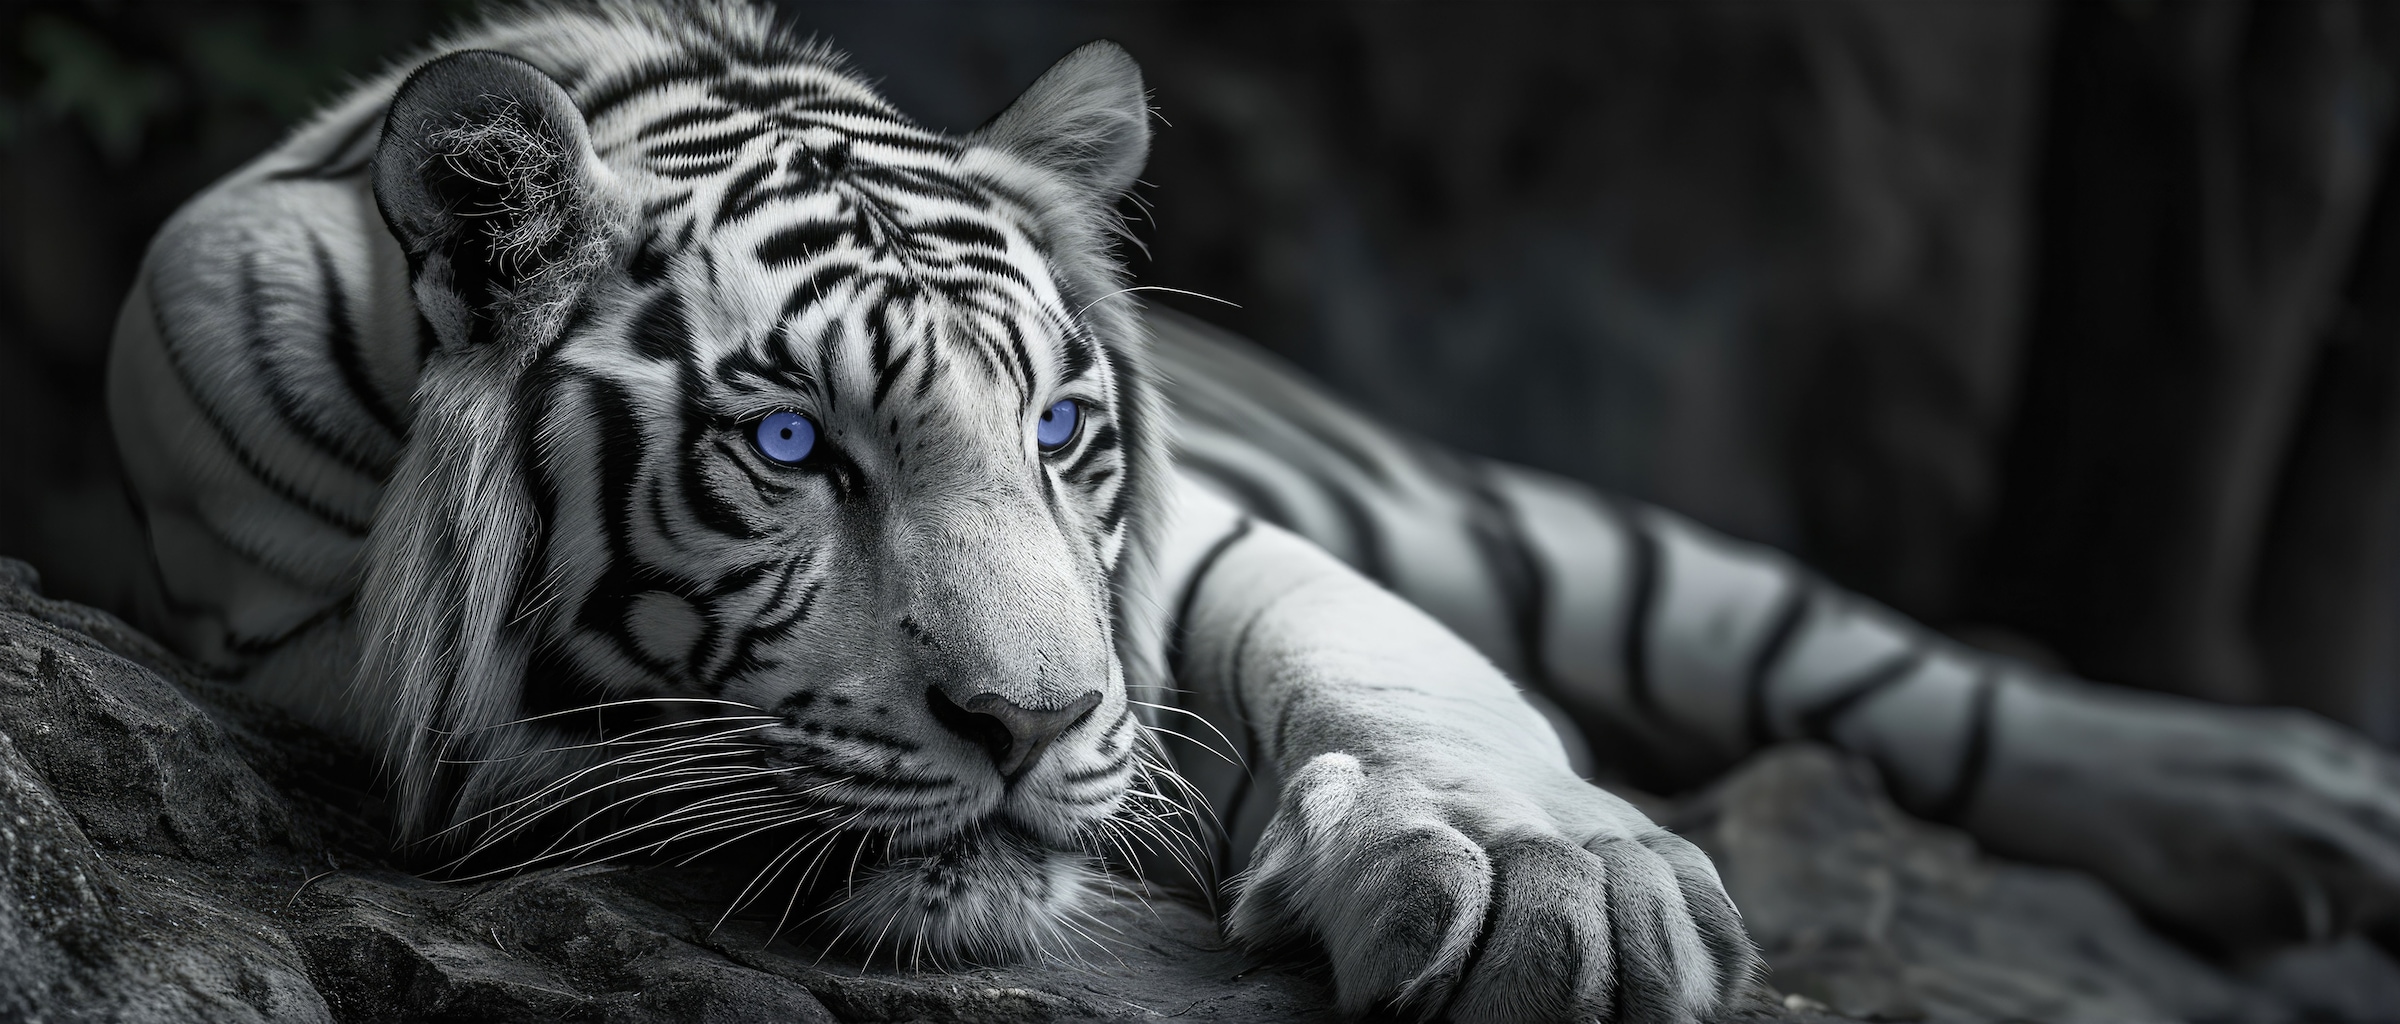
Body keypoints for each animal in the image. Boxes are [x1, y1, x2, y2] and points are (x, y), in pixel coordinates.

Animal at [102, 2, 2400, 1022]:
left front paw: (1557, 886)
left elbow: (1385, 660)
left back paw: (2294, 805)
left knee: (1883, 662)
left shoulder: (1208, 551)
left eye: (1057, 431)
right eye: (790, 450)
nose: (1031, 730)